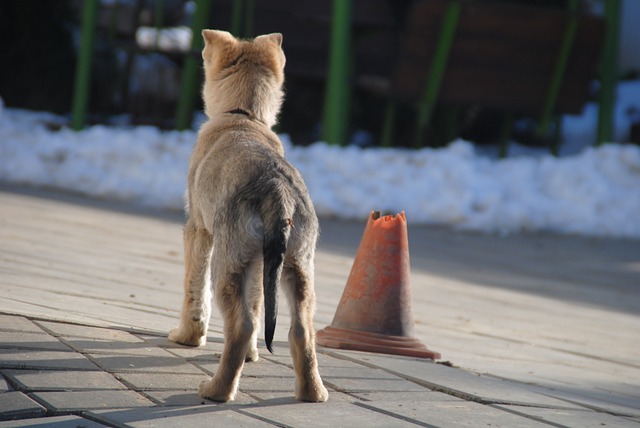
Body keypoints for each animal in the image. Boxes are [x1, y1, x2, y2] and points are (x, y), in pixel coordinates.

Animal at [169, 28, 330, 402]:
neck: (243, 116)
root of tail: (279, 192)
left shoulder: (197, 231)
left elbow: (193, 290)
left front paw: (187, 337)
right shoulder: (260, 263)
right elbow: (258, 307)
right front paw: (252, 356)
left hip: (227, 265)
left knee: (240, 325)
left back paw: (216, 390)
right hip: (297, 267)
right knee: (300, 329)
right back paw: (312, 393)